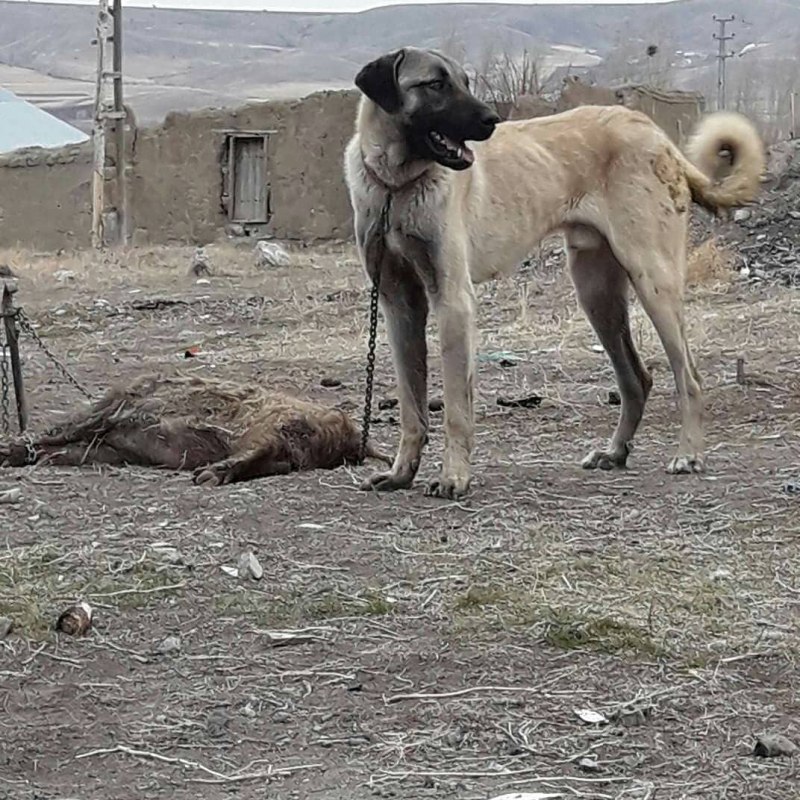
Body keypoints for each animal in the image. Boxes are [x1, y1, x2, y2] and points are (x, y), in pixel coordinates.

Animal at [346, 47, 768, 496]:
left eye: (465, 81)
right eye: (436, 84)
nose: (490, 120)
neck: (396, 185)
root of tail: (658, 135)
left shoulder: (453, 300)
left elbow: (457, 408)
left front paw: (453, 477)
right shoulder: (399, 305)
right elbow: (412, 405)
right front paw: (401, 473)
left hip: (654, 282)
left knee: (688, 376)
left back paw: (688, 454)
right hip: (597, 295)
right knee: (636, 379)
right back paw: (615, 452)